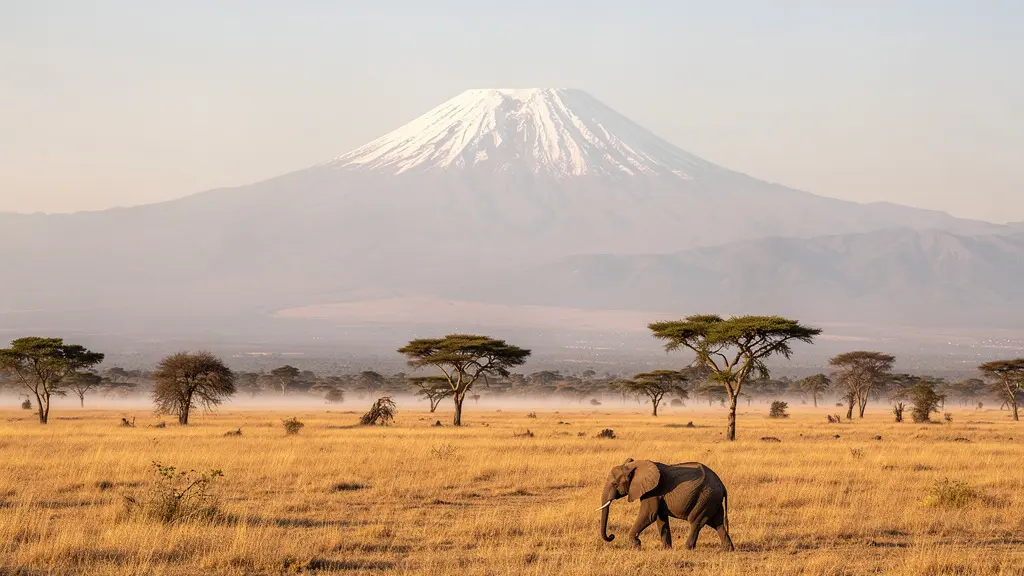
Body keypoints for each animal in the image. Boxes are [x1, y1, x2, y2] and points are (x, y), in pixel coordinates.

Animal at [597, 458, 734, 551]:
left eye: (615, 484)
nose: (611, 536)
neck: (636, 465)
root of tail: (723, 486)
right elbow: (660, 518)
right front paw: (666, 549)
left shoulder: (653, 491)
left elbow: (649, 515)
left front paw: (636, 546)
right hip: (711, 500)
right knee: (717, 523)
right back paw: (727, 549)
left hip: (705, 498)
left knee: (696, 522)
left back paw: (686, 549)